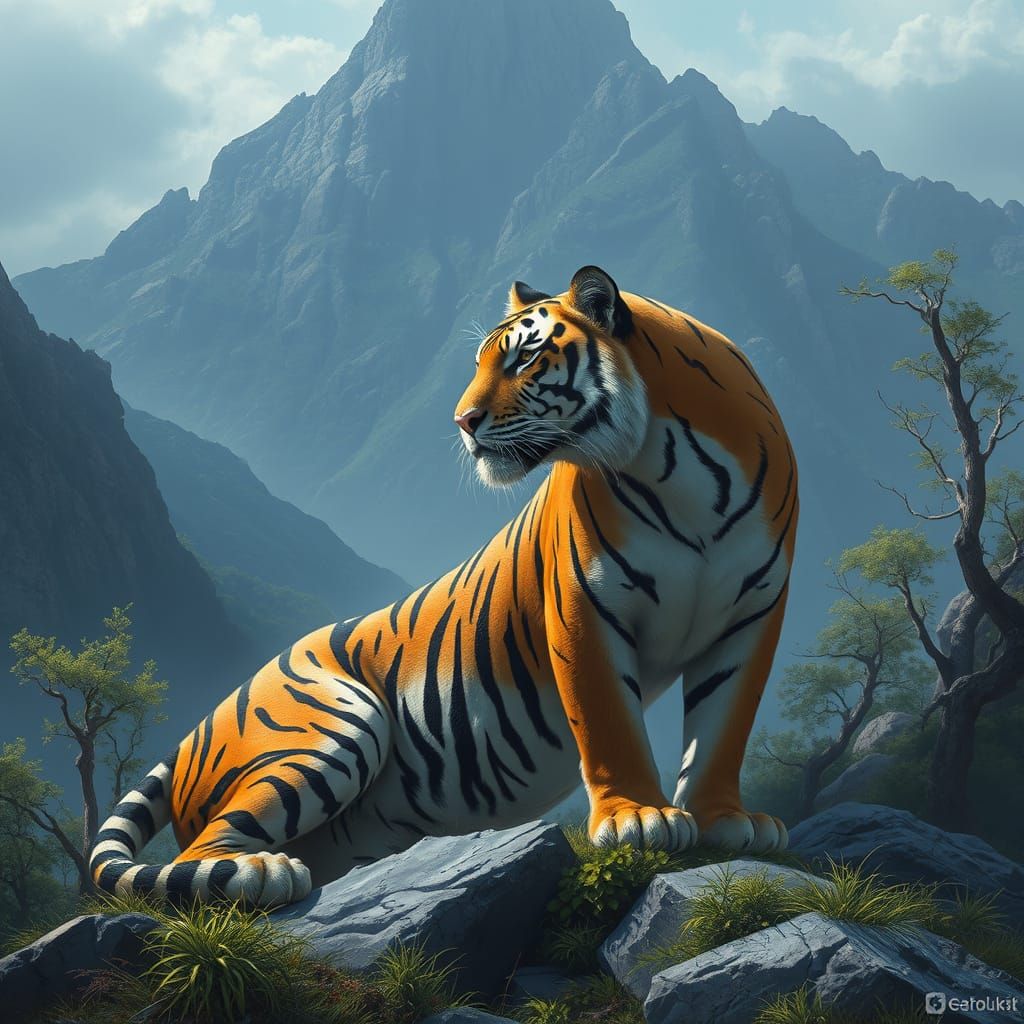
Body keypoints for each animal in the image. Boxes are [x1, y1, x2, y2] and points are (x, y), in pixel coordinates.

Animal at [90, 265, 797, 907]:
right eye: (482, 362)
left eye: (524, 359)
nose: (462, 420)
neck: (681, 474)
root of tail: (196, 729)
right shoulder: (583, 609)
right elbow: (608, 725)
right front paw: (637, 820)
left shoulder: (754, 617)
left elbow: (723, 728)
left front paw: (724, 821)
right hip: (332, 726)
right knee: (200, 847)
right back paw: (263, 875)